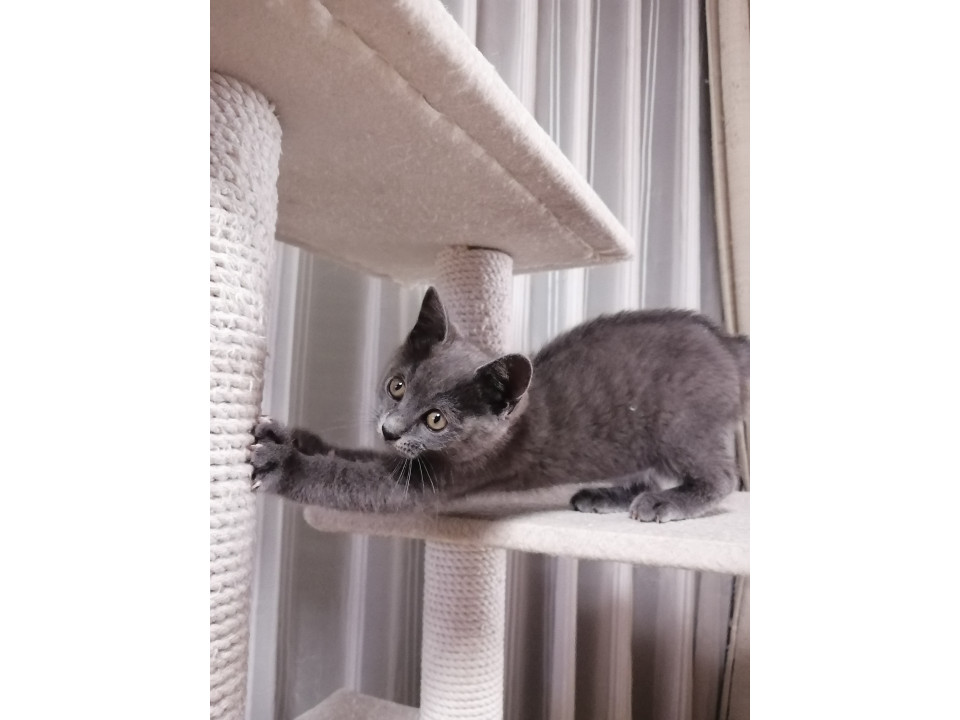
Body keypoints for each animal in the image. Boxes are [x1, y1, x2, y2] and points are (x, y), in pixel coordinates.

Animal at [251, 287, 749, 522]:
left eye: (436, 419)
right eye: (396, 386)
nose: (390, 430)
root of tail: (725, 342)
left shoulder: (442, 477)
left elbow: (347, 480)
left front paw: (283, 462)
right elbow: (351, 454)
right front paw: (296, 436)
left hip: (683, 424)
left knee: (722, 477)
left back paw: (665, 503)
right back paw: (604, 495)